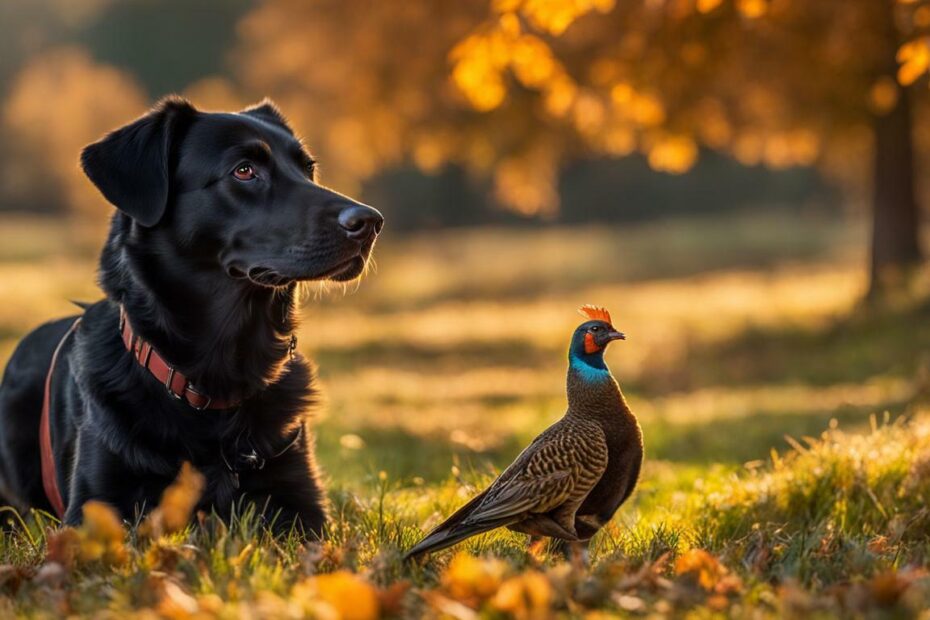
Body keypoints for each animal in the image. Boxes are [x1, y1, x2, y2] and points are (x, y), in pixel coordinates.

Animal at [0, 98, 380, 536]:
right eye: (244, 170)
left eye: (307, 169)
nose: (370, 222)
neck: (218, 374)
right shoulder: (95, 511)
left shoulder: (302, 507)